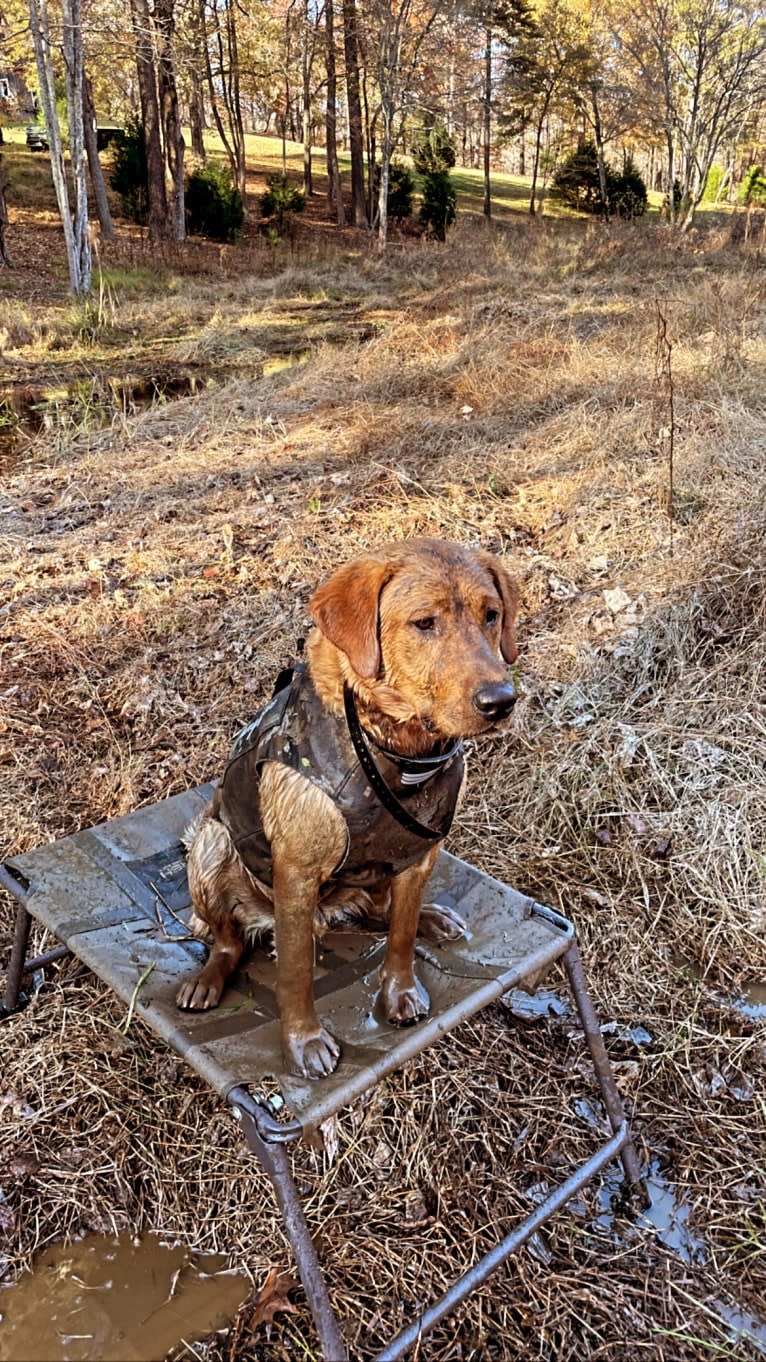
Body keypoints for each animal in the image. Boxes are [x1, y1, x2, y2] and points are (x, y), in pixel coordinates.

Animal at [175, 536, 515, 1078]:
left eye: (492, 615)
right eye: (425, 623)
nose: (501, 701)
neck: (396, 751)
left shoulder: (418, 853)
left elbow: (400, 937)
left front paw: (399, 992)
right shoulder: (296, 873)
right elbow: (295, 973)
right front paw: (304, 1041)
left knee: (380, 913)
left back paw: (430, 918)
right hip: (210, 844)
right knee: (229, 939)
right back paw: (207, 979)